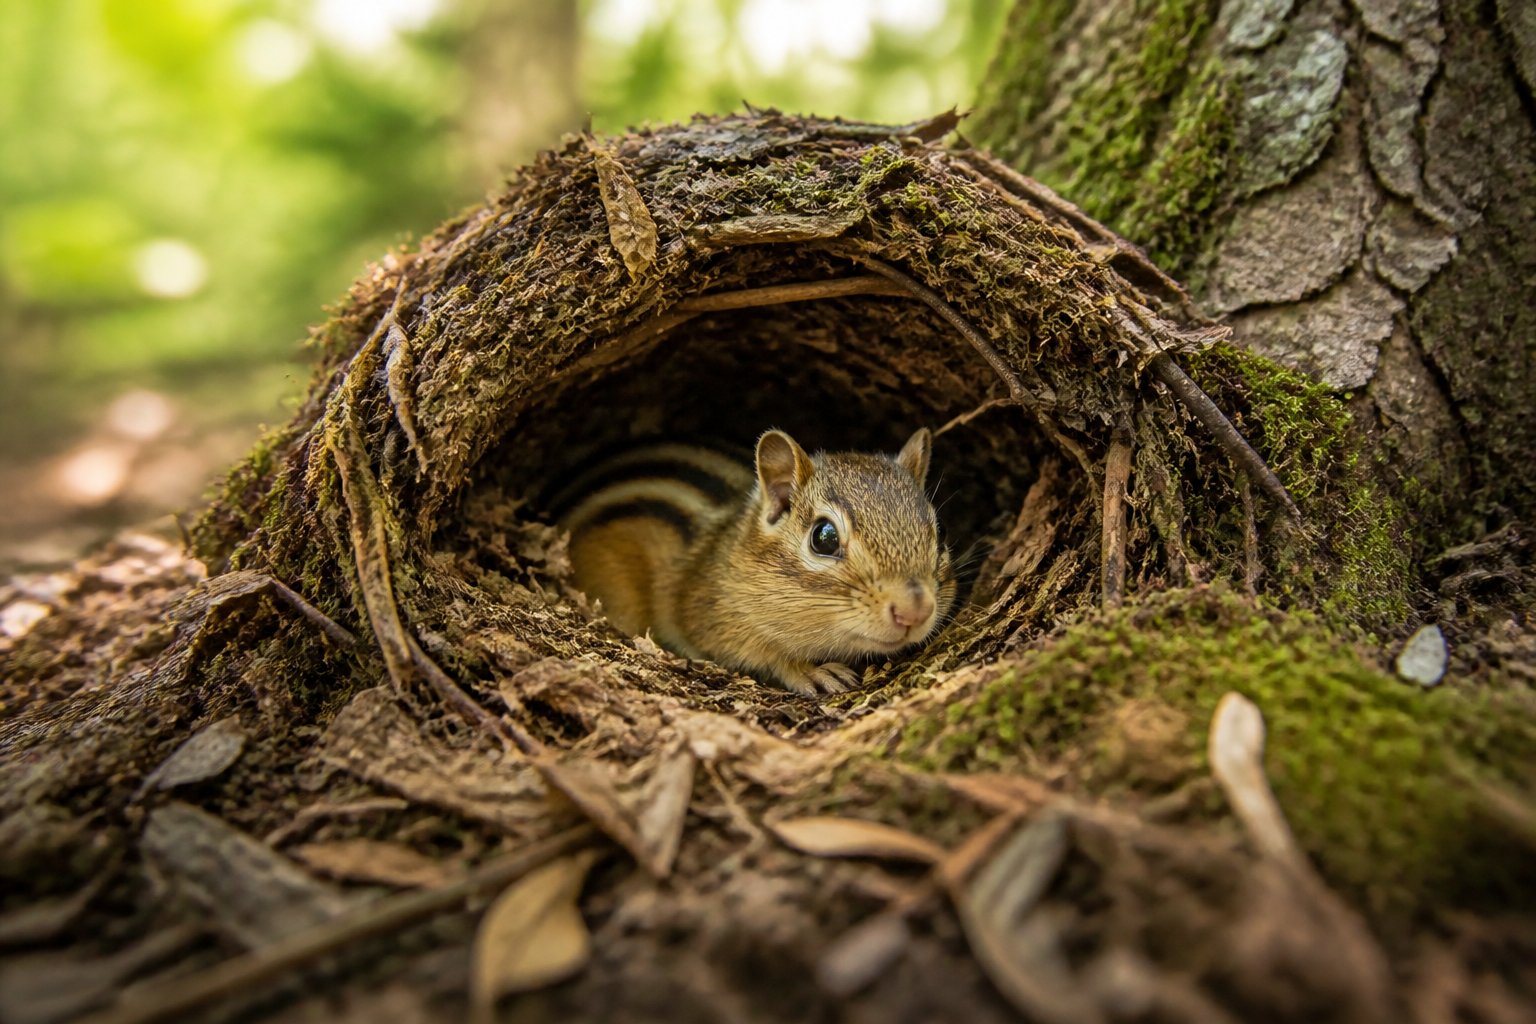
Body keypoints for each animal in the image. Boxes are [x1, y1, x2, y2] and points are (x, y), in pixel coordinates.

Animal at [554, 428, 955, 695]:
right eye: (824, 537)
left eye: (940, 534)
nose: (915, 611)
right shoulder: (707, 616)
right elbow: (763, 654)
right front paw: (810, 671)